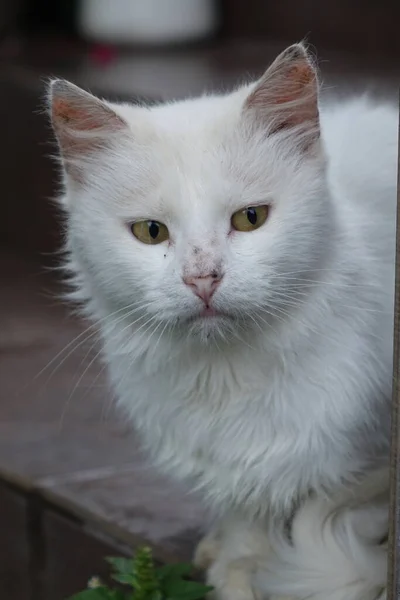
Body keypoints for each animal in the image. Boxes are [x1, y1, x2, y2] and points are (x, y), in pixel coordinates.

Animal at [48, 43, 396, 600]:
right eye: (150, 232)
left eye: (250, 219)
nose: (203, 278)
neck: (222, 376)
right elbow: (244, 512)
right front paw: (235, 563)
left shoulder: (349, 449)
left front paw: (254, 570)